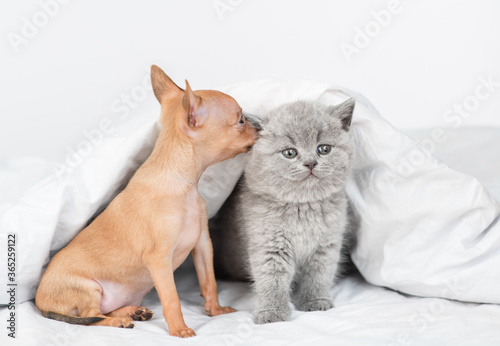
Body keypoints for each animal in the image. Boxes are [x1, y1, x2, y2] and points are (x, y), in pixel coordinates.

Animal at [210, 99, 356, 324]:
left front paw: (315, 301)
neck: (302, 207)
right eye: (290, 153)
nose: (311, 163)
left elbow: (319, 274)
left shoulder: (326, 243)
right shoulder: (269, 244)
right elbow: (272, 280)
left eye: (324, 149)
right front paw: (272, 313)